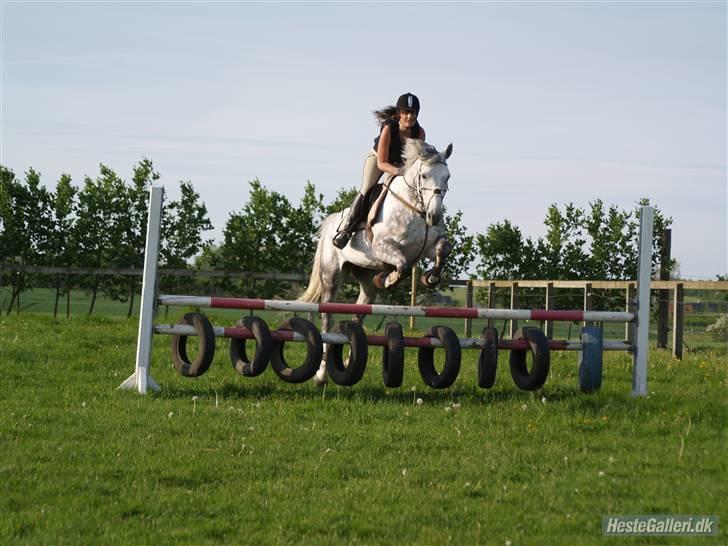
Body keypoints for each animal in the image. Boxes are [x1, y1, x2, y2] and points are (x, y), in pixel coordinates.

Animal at [298, 138, 452, 384]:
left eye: (447, 177)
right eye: (424, 175)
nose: (434, 216)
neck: (415, 208)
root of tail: (331, 222)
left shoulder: (426, 247)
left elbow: (443, 248)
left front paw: (431, 277)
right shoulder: (382, 246)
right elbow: (402, 263)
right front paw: (388, 279)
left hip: (365, 278)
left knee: (359, 313)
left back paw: (350, 361)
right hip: (331, 276)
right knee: (327, 318)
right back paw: (321, 375)